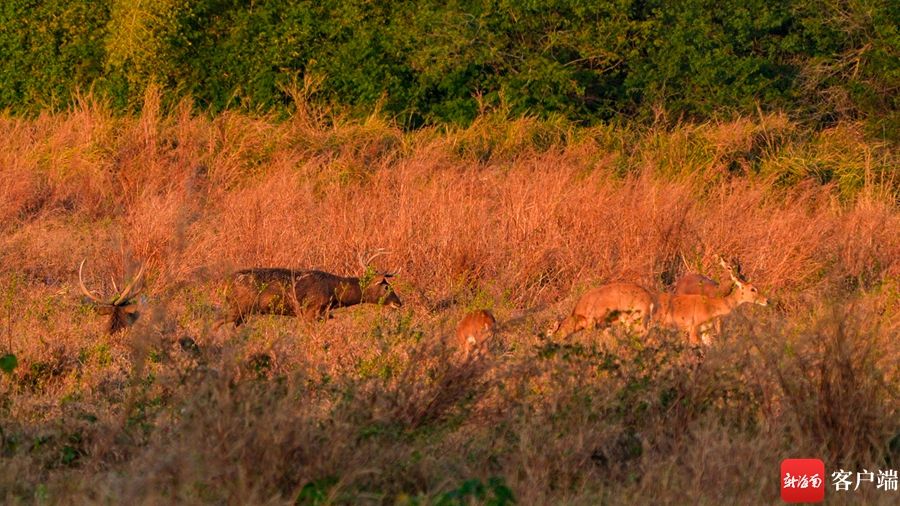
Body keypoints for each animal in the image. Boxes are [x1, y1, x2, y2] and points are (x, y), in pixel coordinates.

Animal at [220, 250, 402, 328]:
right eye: (386, 286)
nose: (399, 303)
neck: (334, 291)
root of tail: (227, 282)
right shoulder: (310, 311)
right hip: (239, 307)